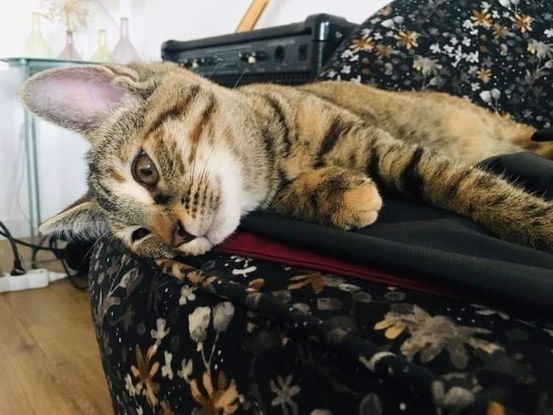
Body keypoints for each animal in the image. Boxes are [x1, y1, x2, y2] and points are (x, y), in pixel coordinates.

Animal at [20, 62, 553, 274]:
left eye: (144, 170)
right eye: (138, 236)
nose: (177, 236)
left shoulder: (387, 147)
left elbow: (464, 184)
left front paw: (537, 223)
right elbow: (298, 196)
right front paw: (341, 194)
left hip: (498, 126)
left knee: (526, 135)